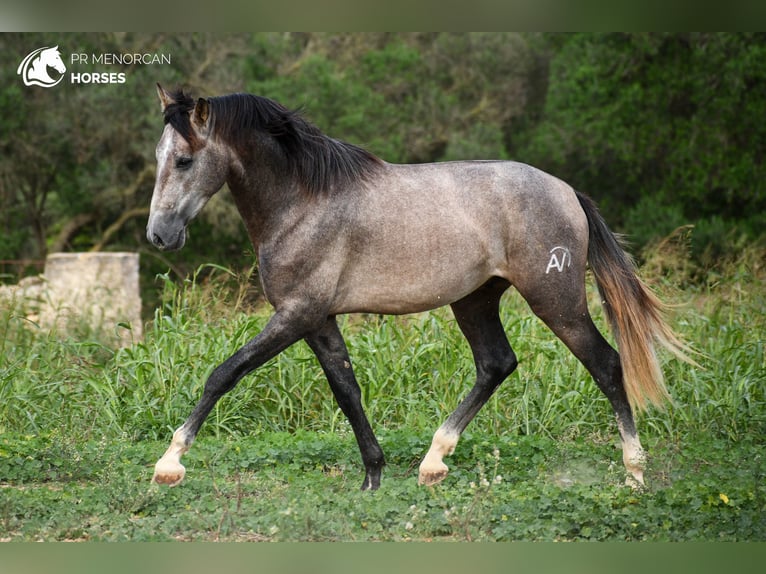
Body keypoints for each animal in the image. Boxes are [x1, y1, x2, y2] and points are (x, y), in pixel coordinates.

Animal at [147, 84, 690, 491]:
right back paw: (434, 461)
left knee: (607, 364)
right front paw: (373, 476)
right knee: (496, 364)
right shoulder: (317, 318)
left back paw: (634, 471)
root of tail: (567, 191)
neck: (302, 202)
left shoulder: (296, 313)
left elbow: (224, 373)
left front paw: (169, 463)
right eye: (160, 156)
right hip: (475, 301)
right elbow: (347, 389)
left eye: (184, 160)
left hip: (556, 301)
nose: (159, 236)